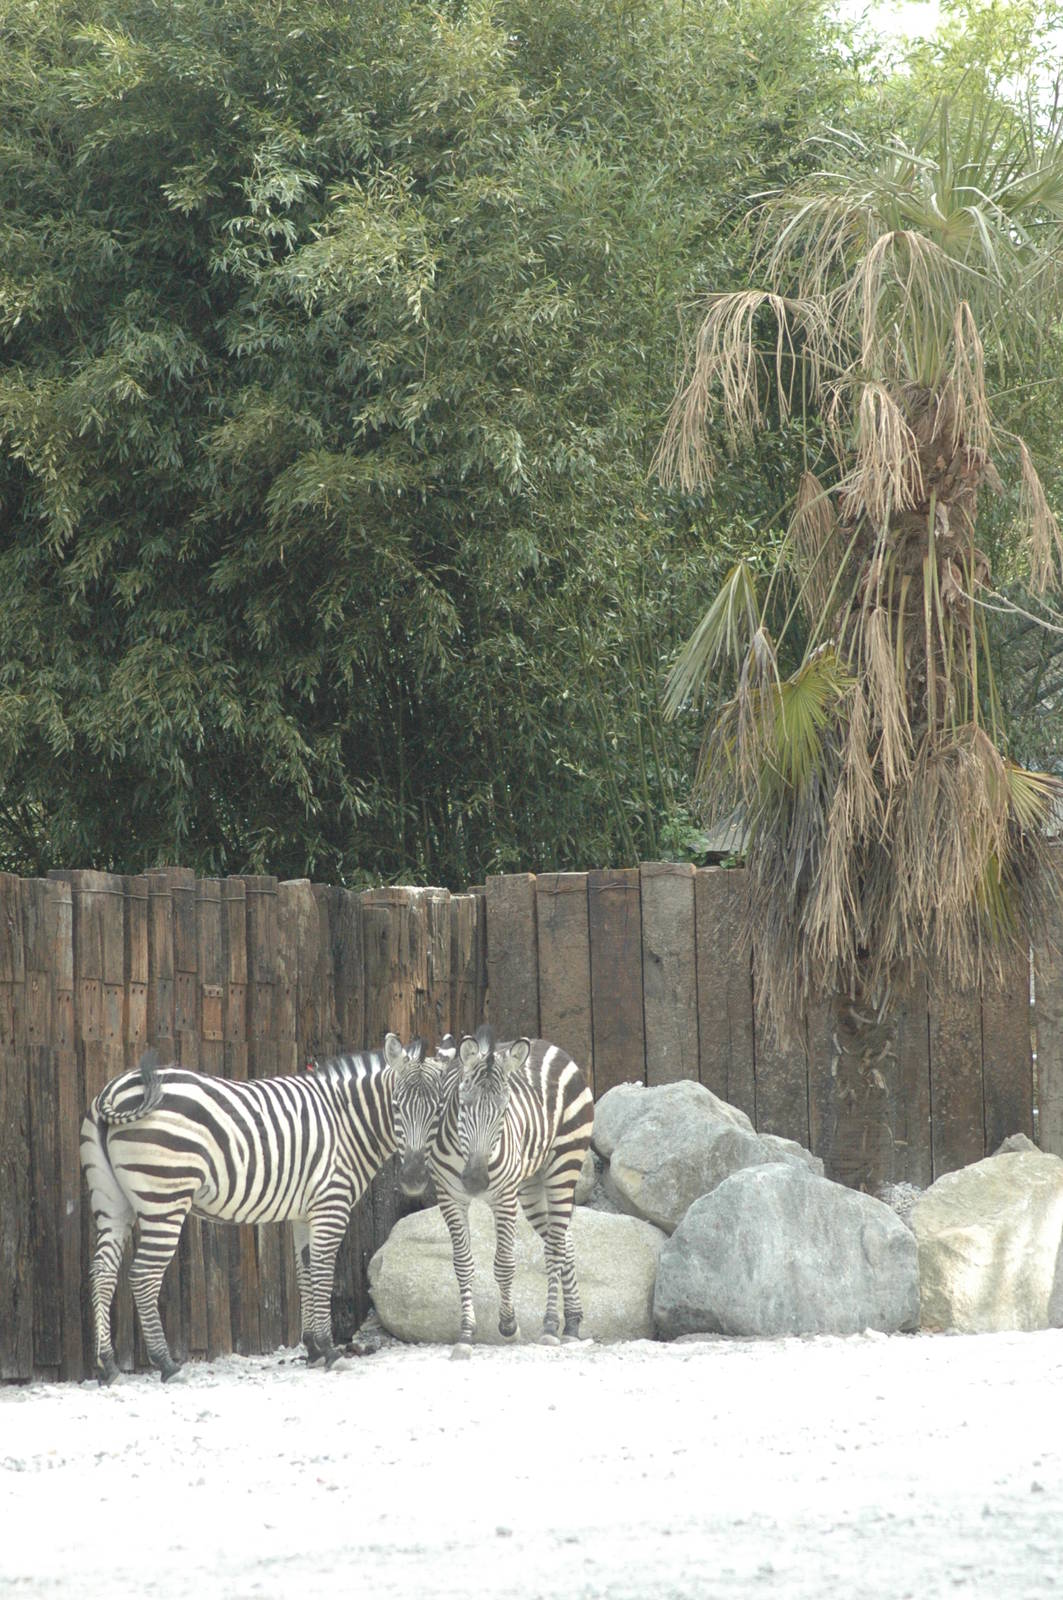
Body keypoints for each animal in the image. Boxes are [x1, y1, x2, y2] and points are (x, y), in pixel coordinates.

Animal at [79, 1032, 438, 1383]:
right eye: (396, 1106)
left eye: (437, 1110)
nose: (414, 1178)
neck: (347, 1122)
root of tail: (115, 1088)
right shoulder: (330, 1204)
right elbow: (323, 1271)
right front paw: (329, 1349)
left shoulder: (304, 1213)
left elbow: (305, 1271)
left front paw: (313, 1349)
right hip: (165, 1195)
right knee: (143, 1275)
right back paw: (166, 1365)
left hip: (111, 1200)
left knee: (102, 1271)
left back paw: (107, 1366)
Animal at [421, 1025, 594, 1355]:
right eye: (464, 1106)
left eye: (503, 1112)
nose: (476, 1181)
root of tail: (548, 1045)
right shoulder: (449, 1197)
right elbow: (462, 1263)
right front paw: (466, 1333)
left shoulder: (504, 1198)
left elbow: (503, 1264)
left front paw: (509, 1326)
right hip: (530, 1185)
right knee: (565, 1241)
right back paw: (573, 1322)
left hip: (563, 1164)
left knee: (555, 1247)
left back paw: (551, 1325)